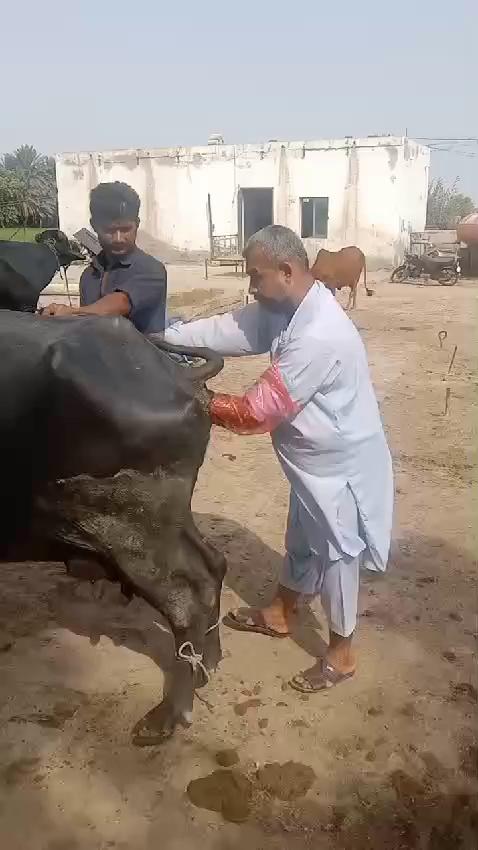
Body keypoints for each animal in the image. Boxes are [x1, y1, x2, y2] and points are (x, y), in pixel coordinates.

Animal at [0, 300, 227, 744]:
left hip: (130, 530)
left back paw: (167, 716)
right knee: (214, 563)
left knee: (190, 598)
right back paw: (208, 664)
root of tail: (174, 374)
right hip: (168, 520)